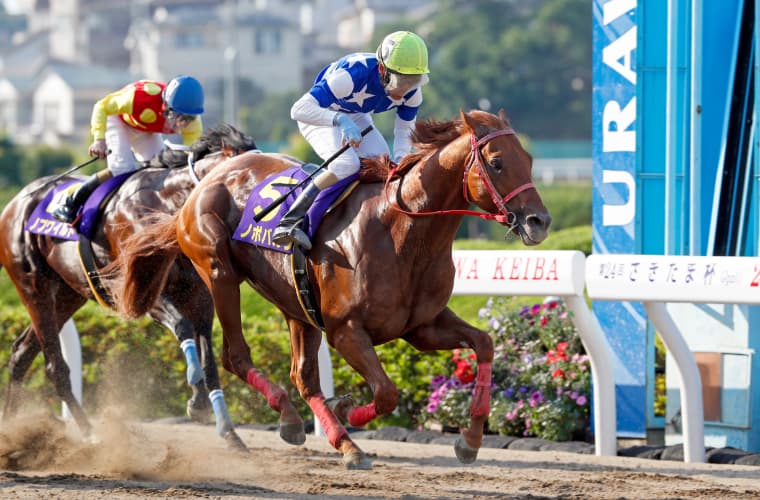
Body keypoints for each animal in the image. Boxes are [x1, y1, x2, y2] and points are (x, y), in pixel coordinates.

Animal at [0, 124, 274, 450]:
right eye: (250, 177)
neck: (167, 207)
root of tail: (15, 202)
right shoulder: (140, 291)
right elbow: (182, 327)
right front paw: (195, 392)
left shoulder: (200, 296)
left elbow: (209, 359)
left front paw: (225, 428)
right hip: (34, 287)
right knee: (55, 367)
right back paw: (89, 432)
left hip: (68, 294)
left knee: (21, 353)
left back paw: (12, 428)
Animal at [114, 109, 552, 468]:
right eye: (496, 162)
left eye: (530, 161)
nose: (540, 221)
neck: (404, 232)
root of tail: (208, 176)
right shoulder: (346, 330)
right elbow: (387, 392)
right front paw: (347, 408)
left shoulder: (422, 328)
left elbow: (484, 344)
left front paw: (470, 440)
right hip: (219, 271)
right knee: (235, 356)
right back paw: (302, 422)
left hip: (294, 301)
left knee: (302, 375)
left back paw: (326, 435)